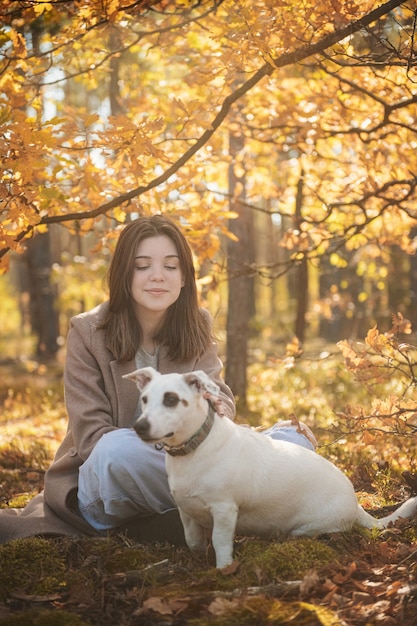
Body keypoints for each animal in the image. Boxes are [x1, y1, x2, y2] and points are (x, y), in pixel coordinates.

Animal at [123, 366, 416, 564]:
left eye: (171, 399)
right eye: (145, 399)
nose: (139, 427)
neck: (193, 451)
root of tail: (355, 503)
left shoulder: (225, 510)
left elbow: (220, 542)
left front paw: (224, 569)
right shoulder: (187, 511)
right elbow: (193, 540)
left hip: (309, 526)